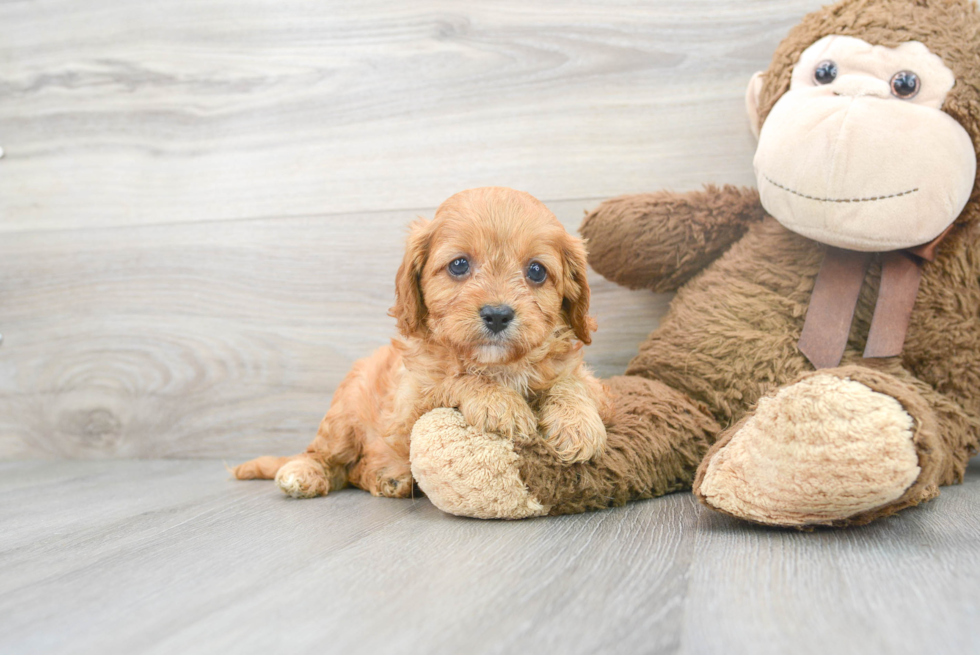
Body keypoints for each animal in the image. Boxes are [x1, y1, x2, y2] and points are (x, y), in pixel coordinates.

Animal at [233, 187, 608, 500]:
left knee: (354, 472)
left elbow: (570, 382)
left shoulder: (591, 383)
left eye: (536, 271)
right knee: (327, 459)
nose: (497, 315)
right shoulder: (406, 409)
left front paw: (578, 424)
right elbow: (455, 379)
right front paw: (501, 403)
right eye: (459, 265)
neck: (497, 365)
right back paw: (304, 474)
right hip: (341, 419)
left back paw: (389, 479)